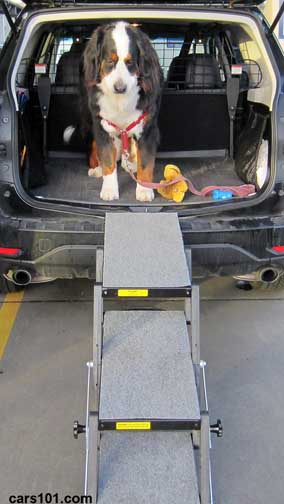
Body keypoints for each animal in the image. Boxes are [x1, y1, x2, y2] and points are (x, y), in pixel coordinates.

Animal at [81, 21, 163, 203]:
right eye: (109, 61)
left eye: (130, 62)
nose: (120, 88)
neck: (121, 102)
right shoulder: (102, 127)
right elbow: (107, 160)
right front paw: (109, 189)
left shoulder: (147, 130)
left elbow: (145, 162)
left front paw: (144, 189)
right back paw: (97, 169)